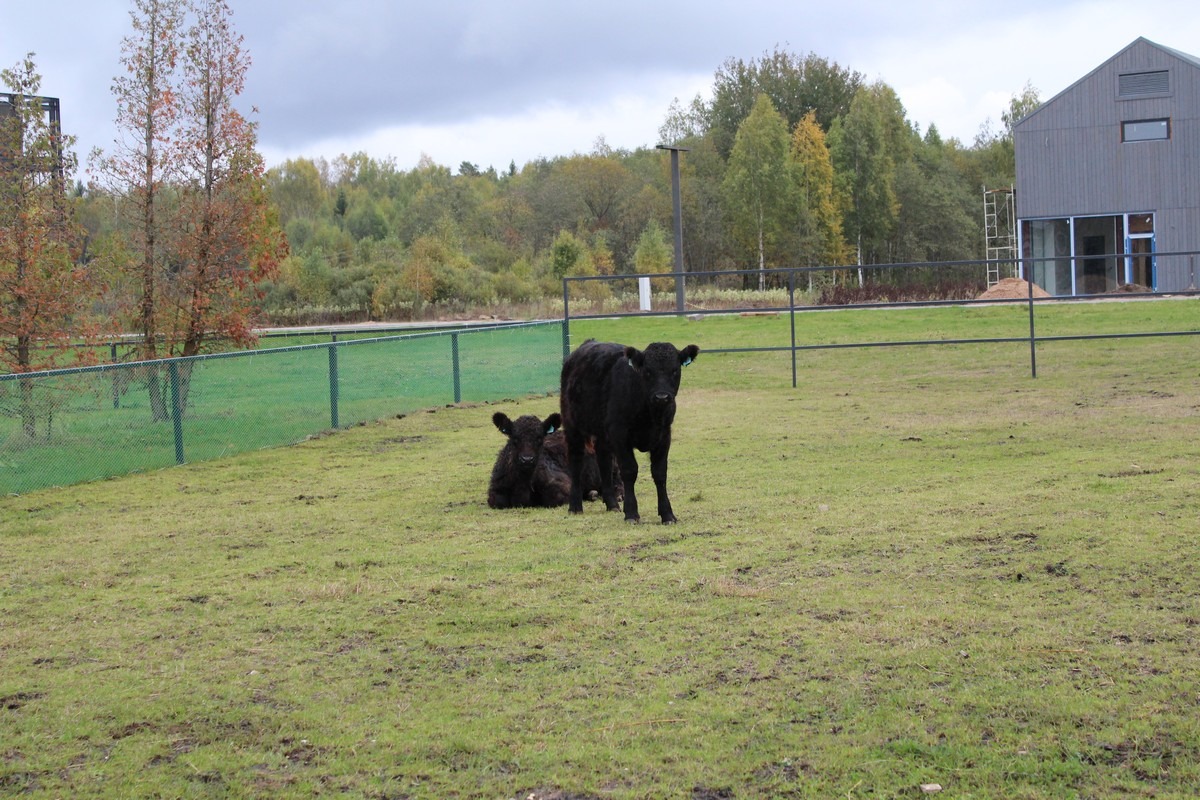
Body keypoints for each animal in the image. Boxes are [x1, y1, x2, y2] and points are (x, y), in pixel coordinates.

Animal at [560, 340, 699, 524]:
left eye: (675, 370)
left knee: (604, 461)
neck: (649, 414)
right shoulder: (620, 435)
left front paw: (667, 514)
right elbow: (629, 470)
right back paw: (575, 507)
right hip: (572, 425)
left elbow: (660, 473)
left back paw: (612, 504)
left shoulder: (664, 436)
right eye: (647, 371)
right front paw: (632, 513)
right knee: (576, 461)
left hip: (603, 433)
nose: (662, 397)